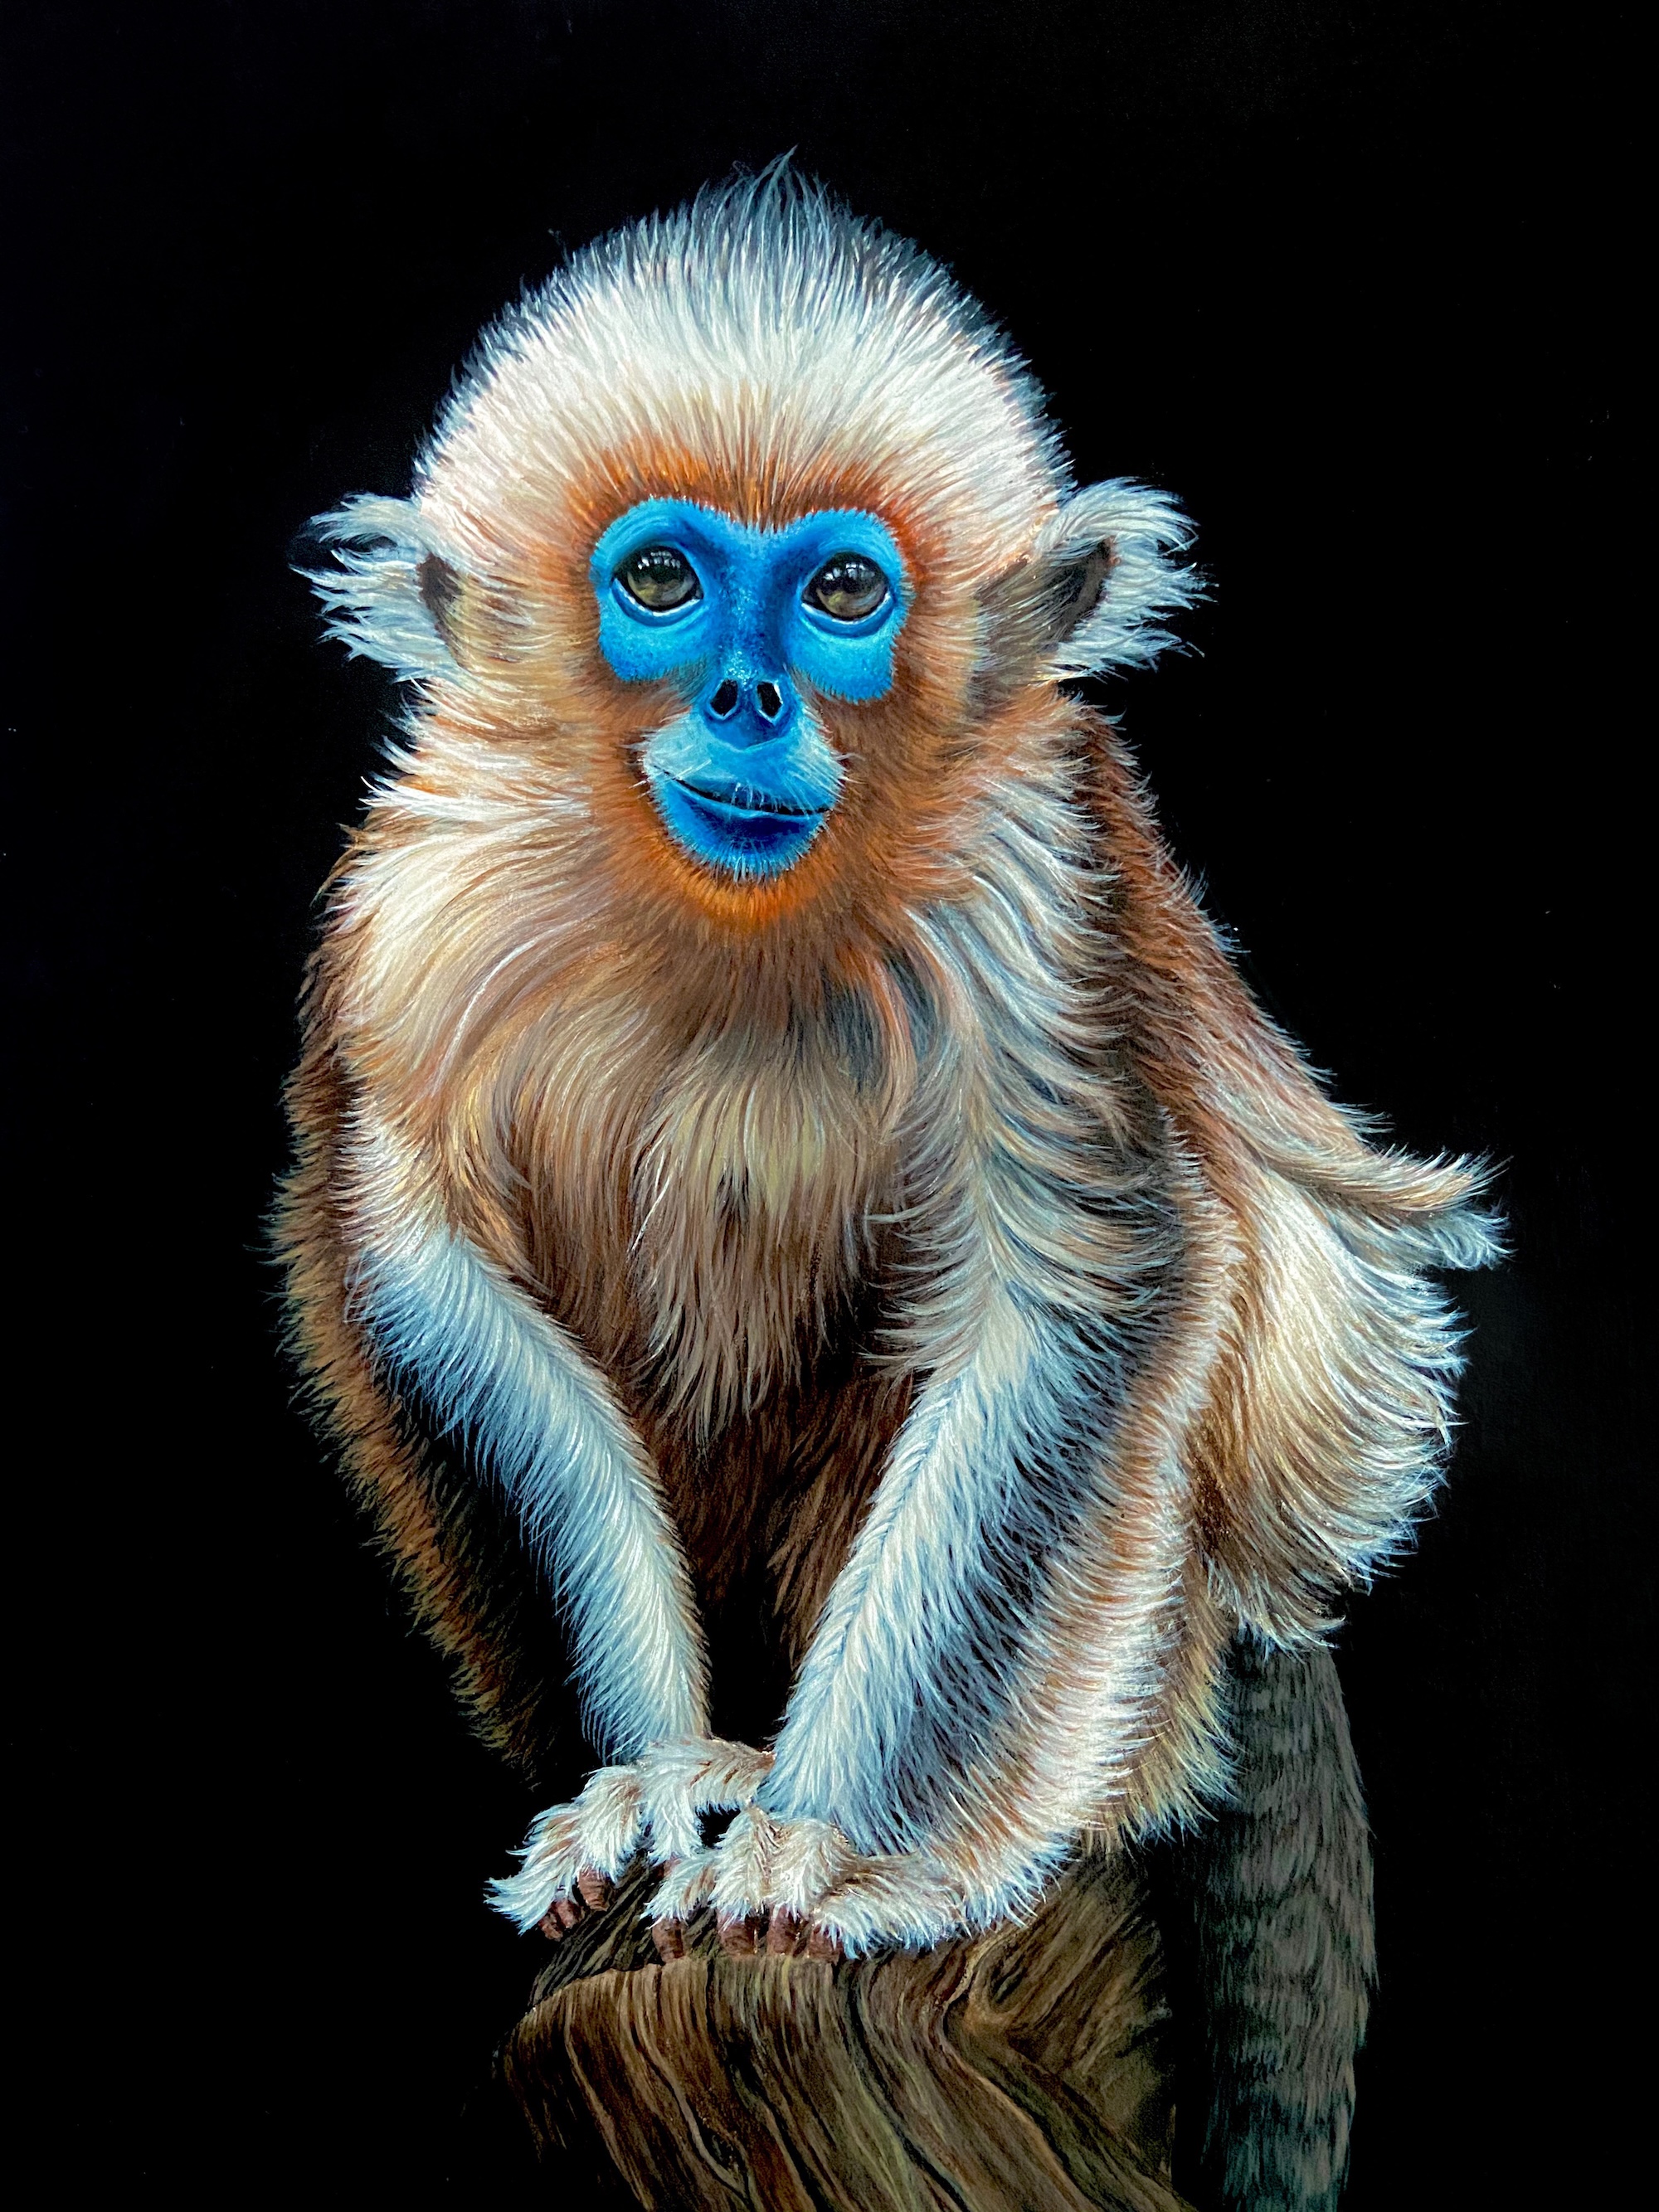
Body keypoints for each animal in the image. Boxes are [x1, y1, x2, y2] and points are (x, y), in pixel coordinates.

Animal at [278, 170, 1496, 2204]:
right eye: (663, 582)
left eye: (844, 594)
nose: (754, 693)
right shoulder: (415, 893)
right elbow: (418, 1258)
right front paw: (652, 1773)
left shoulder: (1036, 871)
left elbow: (1076, 1310)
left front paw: (834, 1846)